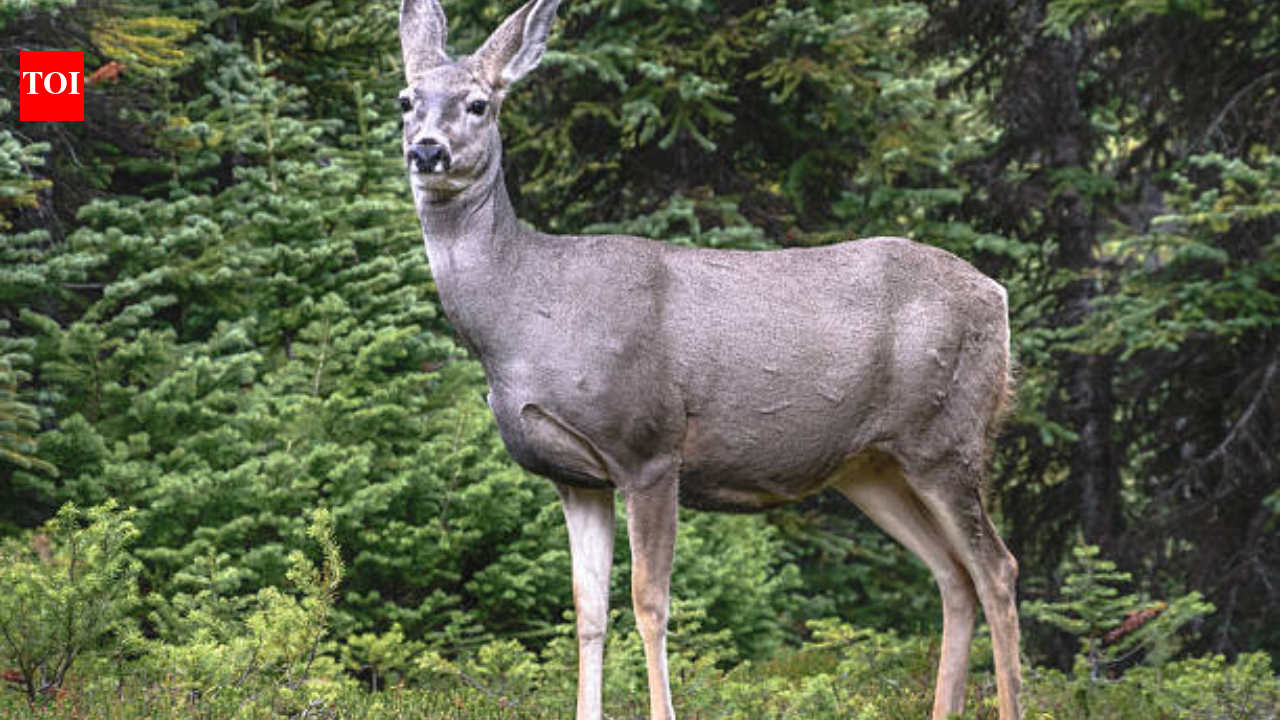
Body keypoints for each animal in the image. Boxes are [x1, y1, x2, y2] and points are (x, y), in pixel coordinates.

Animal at [398, 0, 1023, 718]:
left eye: (479, 103)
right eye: (406, 100)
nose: (426, 149)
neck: (527, 315)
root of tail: (999, 297)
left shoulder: (648, 445)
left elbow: (650, 603)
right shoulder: (576, 477)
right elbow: (587, 611)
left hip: (947, 436)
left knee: (997, 569)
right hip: (874, 466)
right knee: (952, 575)